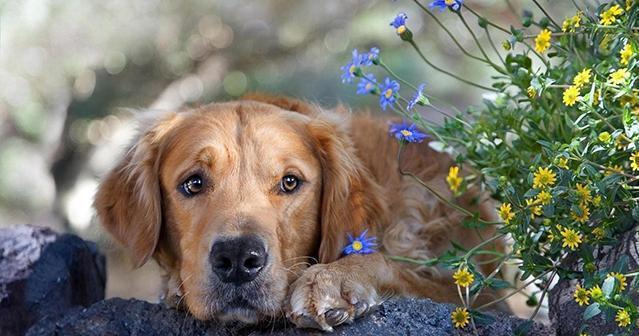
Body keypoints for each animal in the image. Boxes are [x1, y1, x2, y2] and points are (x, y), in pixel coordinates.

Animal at [95, 93, 504, 330]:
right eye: (193, 183)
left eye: (290, 182)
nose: (238, 259)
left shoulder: (478, 295)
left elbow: (390, 265)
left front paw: (333, 280)